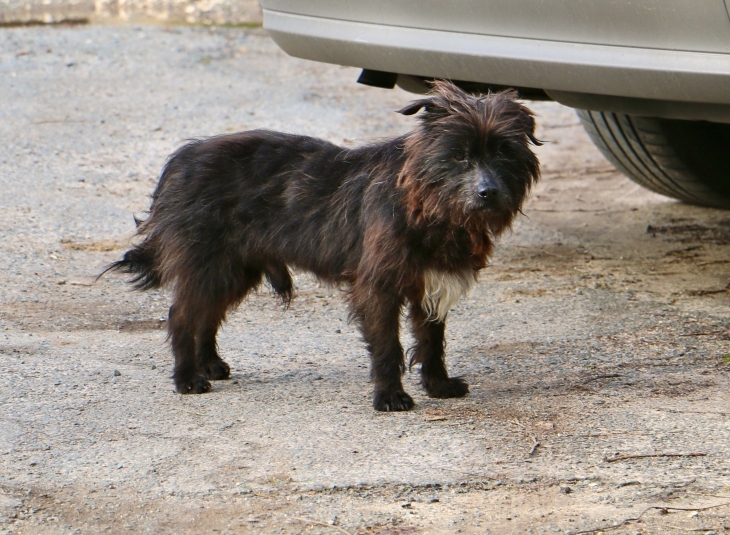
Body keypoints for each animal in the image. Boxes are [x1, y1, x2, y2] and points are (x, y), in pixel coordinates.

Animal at [106, 81, 540, 412]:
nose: (488, 192)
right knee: (182, 316)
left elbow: (431, 341)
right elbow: (388, 347)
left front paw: (438, 385)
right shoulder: (379, 286)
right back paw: (187, 378)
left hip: (234, 269)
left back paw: (209, 364)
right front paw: (390, 397)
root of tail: (179, 160)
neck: (426, 204)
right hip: (207, 265)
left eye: (503, 152)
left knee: (207, 315)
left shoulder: (430, 285)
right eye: (460, 155)